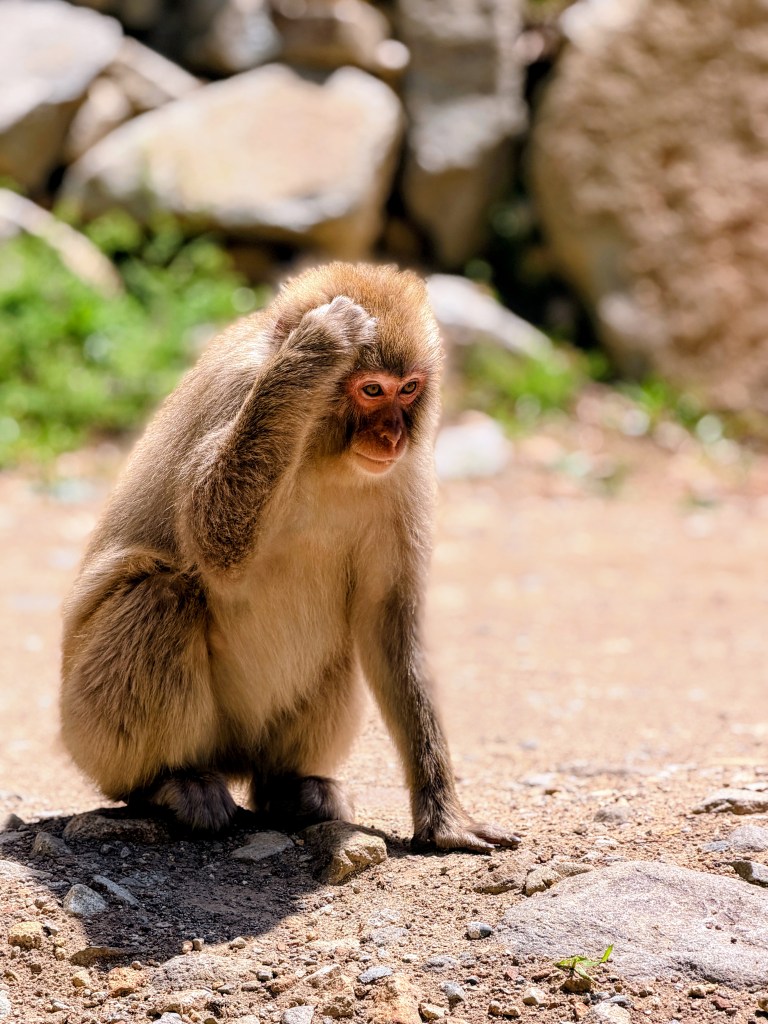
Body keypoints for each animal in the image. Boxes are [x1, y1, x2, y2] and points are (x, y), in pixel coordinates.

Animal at [60, 262, 519, 852]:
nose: (392, 435)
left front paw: (443, 817)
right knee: (161, 594)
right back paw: (168, 783)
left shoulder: (406, 475)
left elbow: (389, 620)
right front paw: (316, 346)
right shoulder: (236, 389)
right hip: (86, 733)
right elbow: (213, 540)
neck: (324, 451)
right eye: (372, 389)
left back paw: (290, 788)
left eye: (409, 389)